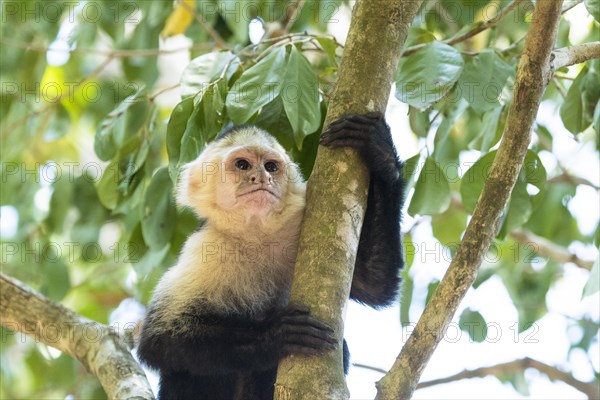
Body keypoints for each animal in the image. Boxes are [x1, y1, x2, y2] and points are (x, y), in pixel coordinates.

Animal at [138, 113, 406, 400]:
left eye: (271, 166)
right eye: (242, 165)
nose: (262, 177)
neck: (257, 235)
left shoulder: (299, 227)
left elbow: (374, 284)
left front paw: (381, 153)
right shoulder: (204, 247)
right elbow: (159, 338)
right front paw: (277, 334)